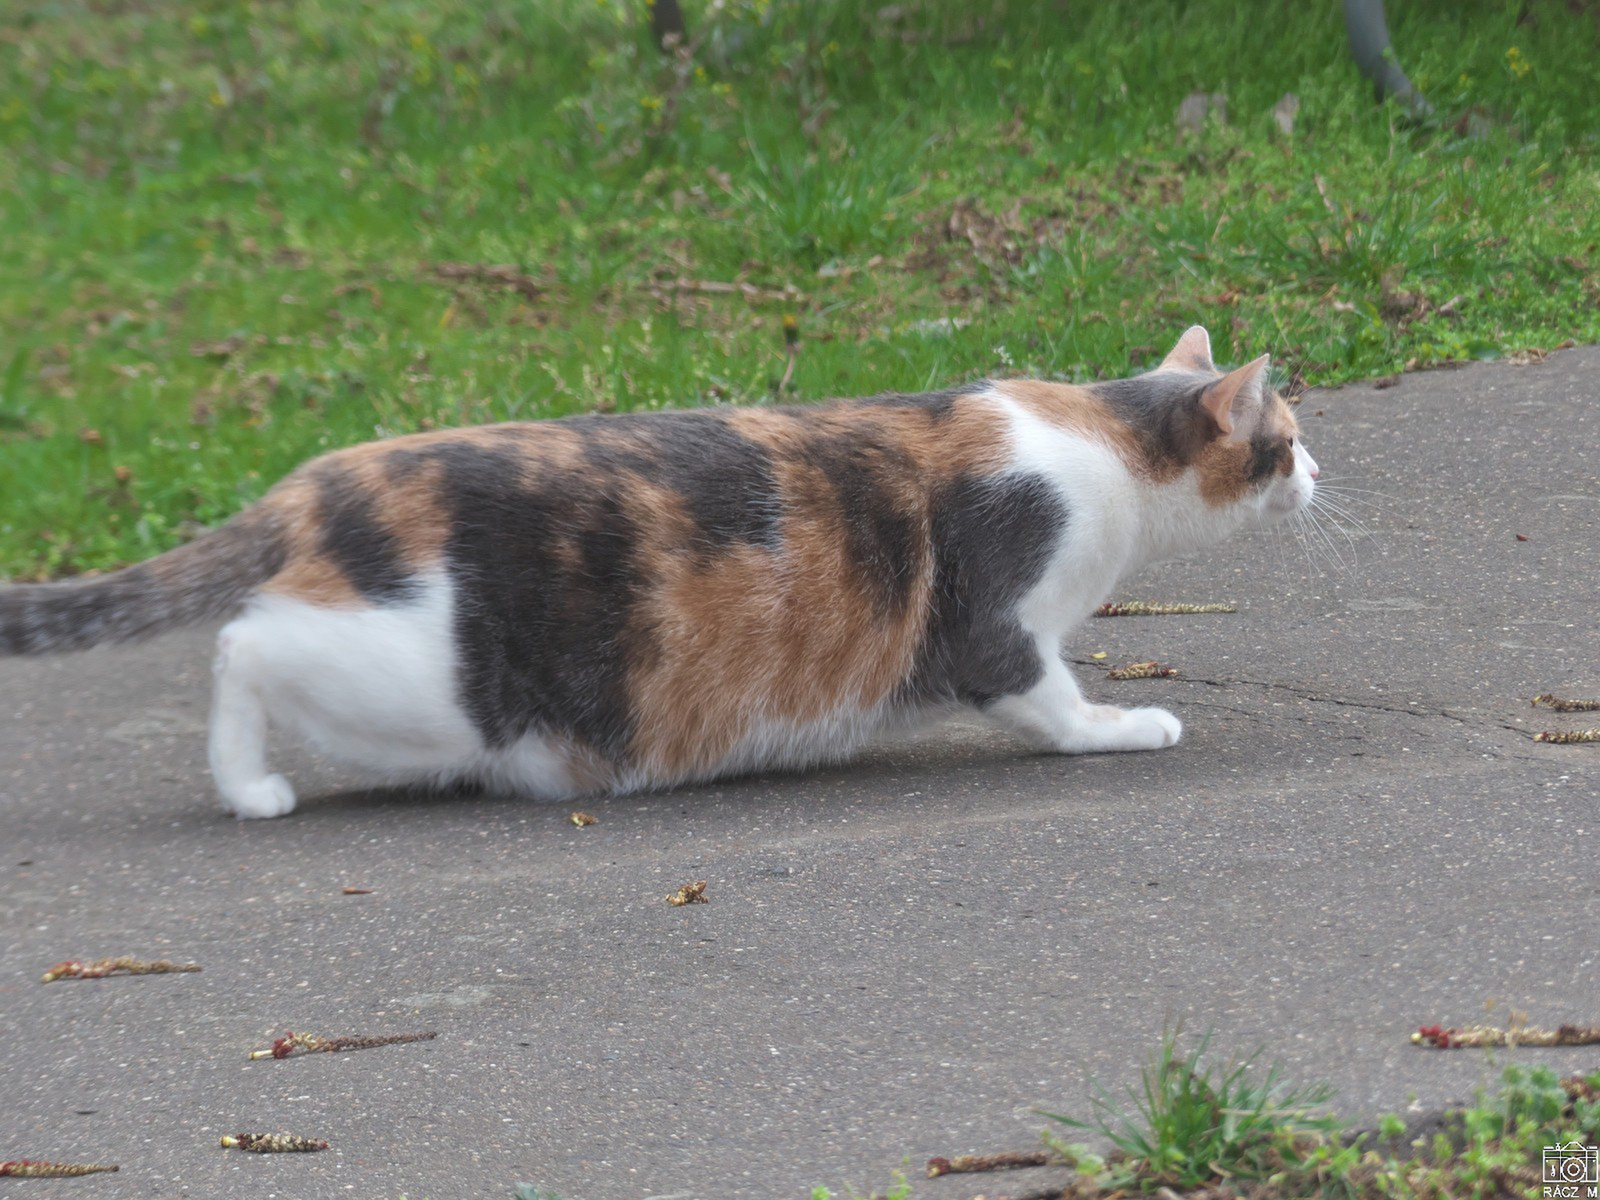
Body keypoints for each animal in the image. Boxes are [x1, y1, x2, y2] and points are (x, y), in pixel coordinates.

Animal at [3, 326, 1312, 819]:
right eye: (1286, 436)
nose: (1313, 474)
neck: (1101, 435)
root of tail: (319, 478)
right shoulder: (996, 614)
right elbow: (1049, 699)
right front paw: (1126, 725)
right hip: (418, 671)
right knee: (242, 643)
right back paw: (250, 787)